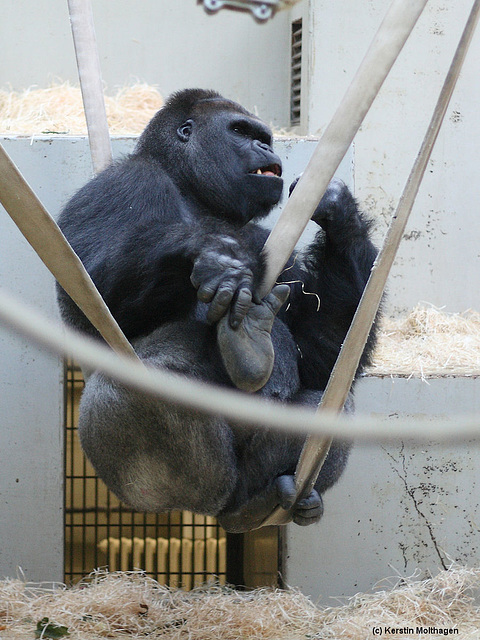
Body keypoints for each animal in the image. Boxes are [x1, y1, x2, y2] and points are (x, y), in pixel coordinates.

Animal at [57, 87, 378, 532]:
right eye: (240, 132)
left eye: (264, 137)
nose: (266, 147)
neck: (192, 190)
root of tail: (210, 511)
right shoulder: (122, 184)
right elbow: (92, 286)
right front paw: (213, 255)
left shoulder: (262, 237)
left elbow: (322, 355)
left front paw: (339, 213)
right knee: (135, 389)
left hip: (248, 482)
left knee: (327, 402)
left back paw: (259, 503)